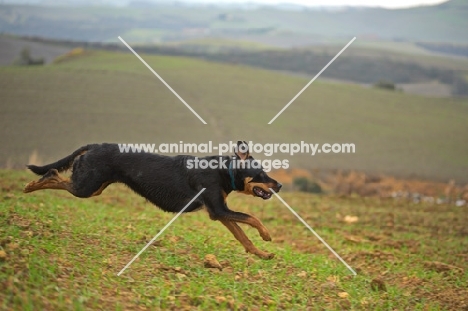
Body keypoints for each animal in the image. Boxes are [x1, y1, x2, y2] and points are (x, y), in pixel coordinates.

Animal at [24, 143, 282, 260]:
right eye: (261, 174)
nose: (279, 185)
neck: (224, 170)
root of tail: (95, 145)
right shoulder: (219, 209)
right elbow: (251, 218)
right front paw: (267, 234)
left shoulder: (218, 212)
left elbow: (242, 236)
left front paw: (261, 253)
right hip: (85, 187)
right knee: (52, 175)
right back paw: (30, 186)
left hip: (94, 187)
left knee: (56, 177)